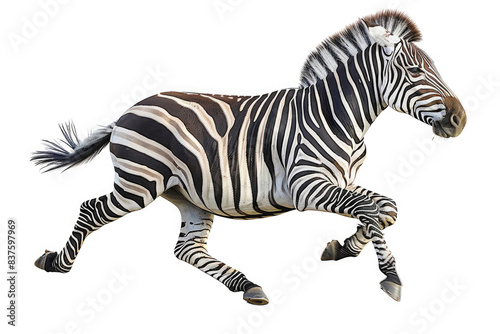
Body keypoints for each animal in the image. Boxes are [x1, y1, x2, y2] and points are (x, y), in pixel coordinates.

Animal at [34, 10, 464, 304]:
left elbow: (384, 209)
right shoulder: (307, 186)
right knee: (90, 209)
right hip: (139, 185)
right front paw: (391, 275)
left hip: (188, 196)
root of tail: (127, 111)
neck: (337, 116)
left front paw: (343, 249)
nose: (460, 119)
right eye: (413, 71)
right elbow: (371, 210)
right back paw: (56, 263)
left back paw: (248, 285)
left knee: (186, 249)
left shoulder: (341, 182)